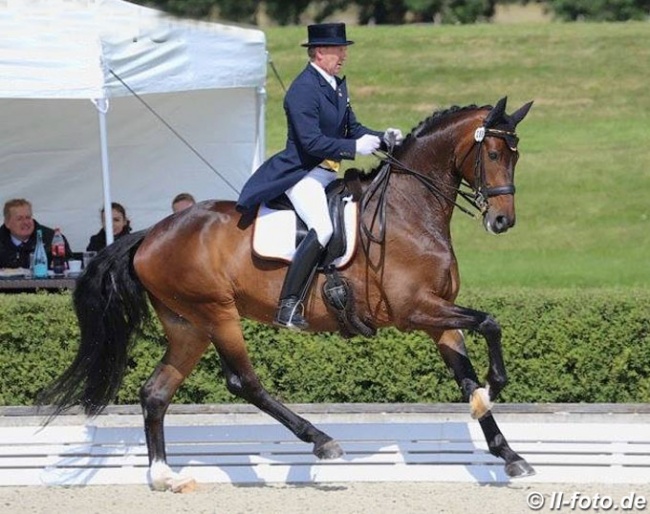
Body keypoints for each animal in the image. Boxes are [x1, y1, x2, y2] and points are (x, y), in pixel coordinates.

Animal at [41, 95, 536, 488]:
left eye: (515, 156)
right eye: (493, 152)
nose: (502, 221)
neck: (408, 209)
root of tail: (150, 234)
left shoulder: (438, 315)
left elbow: (466, 373)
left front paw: (509, 453)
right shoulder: (414, 310)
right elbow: (491, 322)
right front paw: (496, 384)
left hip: (188, 326)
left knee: (155, 392)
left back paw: (164, 476)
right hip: (218, 313)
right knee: (244, 382)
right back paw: (321, 441)